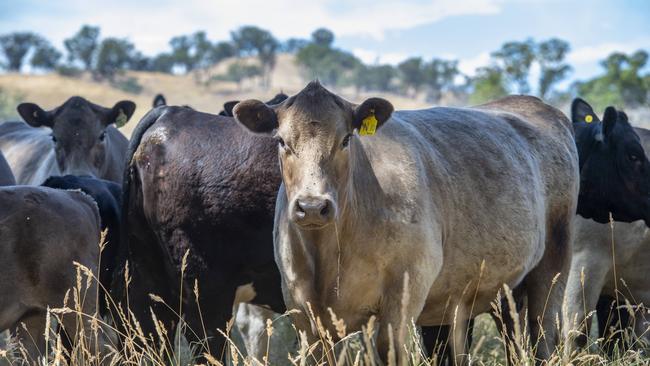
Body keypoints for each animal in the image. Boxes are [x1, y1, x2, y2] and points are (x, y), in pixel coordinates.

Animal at [235, 81, 580, 364]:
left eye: (346, 139)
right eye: (281, 141)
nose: (312, 206)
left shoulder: (405, 292)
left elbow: (390, 350)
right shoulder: (303, 307)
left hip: (554, 265)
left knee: (543, 332)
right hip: (505, 290)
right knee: (513, 337)